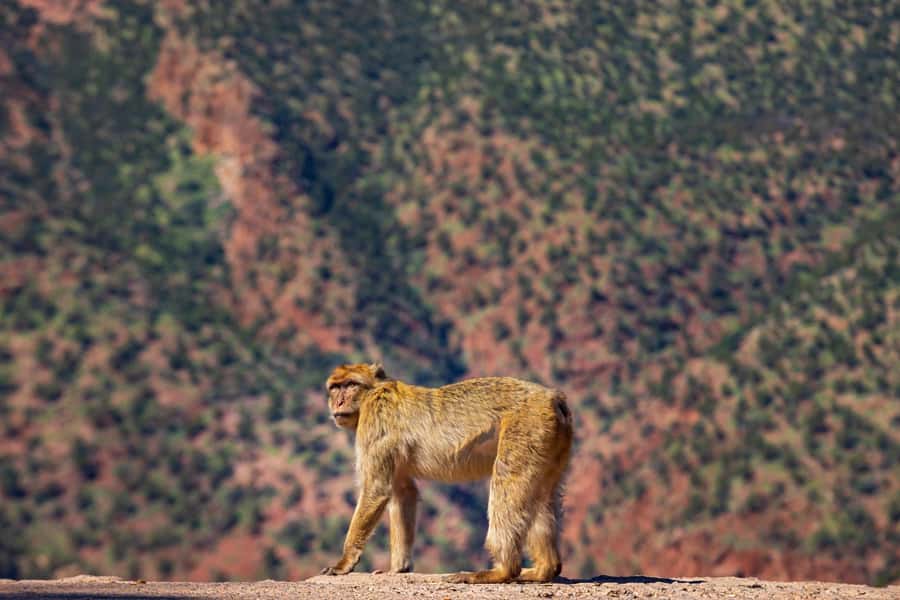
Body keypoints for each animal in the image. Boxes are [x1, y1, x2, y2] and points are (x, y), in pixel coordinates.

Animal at [320, 363, 573, 584]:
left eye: (350, 384)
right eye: (335, 387)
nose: (338, 402)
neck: (373, 392)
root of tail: (554, 397)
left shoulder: (375, 420)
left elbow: (377, 488)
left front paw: (344, 562)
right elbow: (404, 492)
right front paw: (399, 568)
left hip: (526, 429)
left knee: (507, 486)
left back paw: (502, 571)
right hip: (549, 440)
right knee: (541, 497)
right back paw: (544, 570)